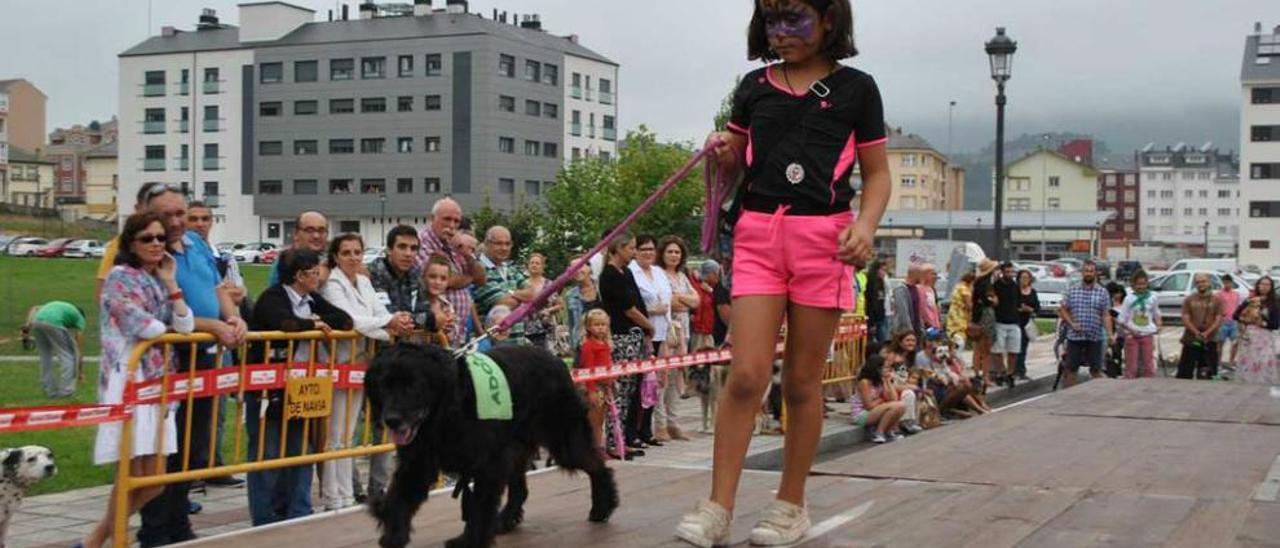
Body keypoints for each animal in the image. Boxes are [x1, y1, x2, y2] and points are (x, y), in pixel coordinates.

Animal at [366, 343, 619, 548]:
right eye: (384, 385)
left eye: (413, 384)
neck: (448, 408)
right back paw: (505, 520)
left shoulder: (487, 463)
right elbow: (401, 498)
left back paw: (603, 507)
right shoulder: (419, 460)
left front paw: (469, 541)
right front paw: (394, 536)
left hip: (564, 440)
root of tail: (557, 360)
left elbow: (480, 505)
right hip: (516, 447)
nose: (392, 420)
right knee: (520, 488)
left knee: (598, 465)